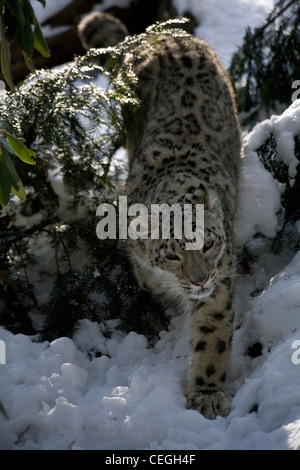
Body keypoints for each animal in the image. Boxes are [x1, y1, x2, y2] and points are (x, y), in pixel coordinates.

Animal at [79, 11, 241, 418]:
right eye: (172, 254)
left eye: (209, 243)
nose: (200, 280)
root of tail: (159, 36)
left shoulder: (222, 276)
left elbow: (211, 336)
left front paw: (207, 395)